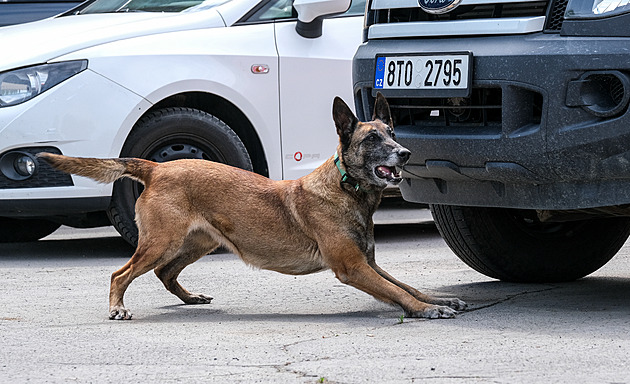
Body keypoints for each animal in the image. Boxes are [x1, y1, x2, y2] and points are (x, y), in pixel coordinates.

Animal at [38, 94, 464, 320]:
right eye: (373, 139)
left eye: (392, 133)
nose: (405, 153)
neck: (345, 187)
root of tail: (157, 167)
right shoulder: (354, 268)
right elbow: (398, 292)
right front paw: (426, 310)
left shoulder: (369, 264)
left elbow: (407, 286)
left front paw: (437, 300)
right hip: (162, 242)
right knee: (121, 273)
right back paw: (117, 308)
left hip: (198, 243)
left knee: (164, 272)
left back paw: (190, 298)